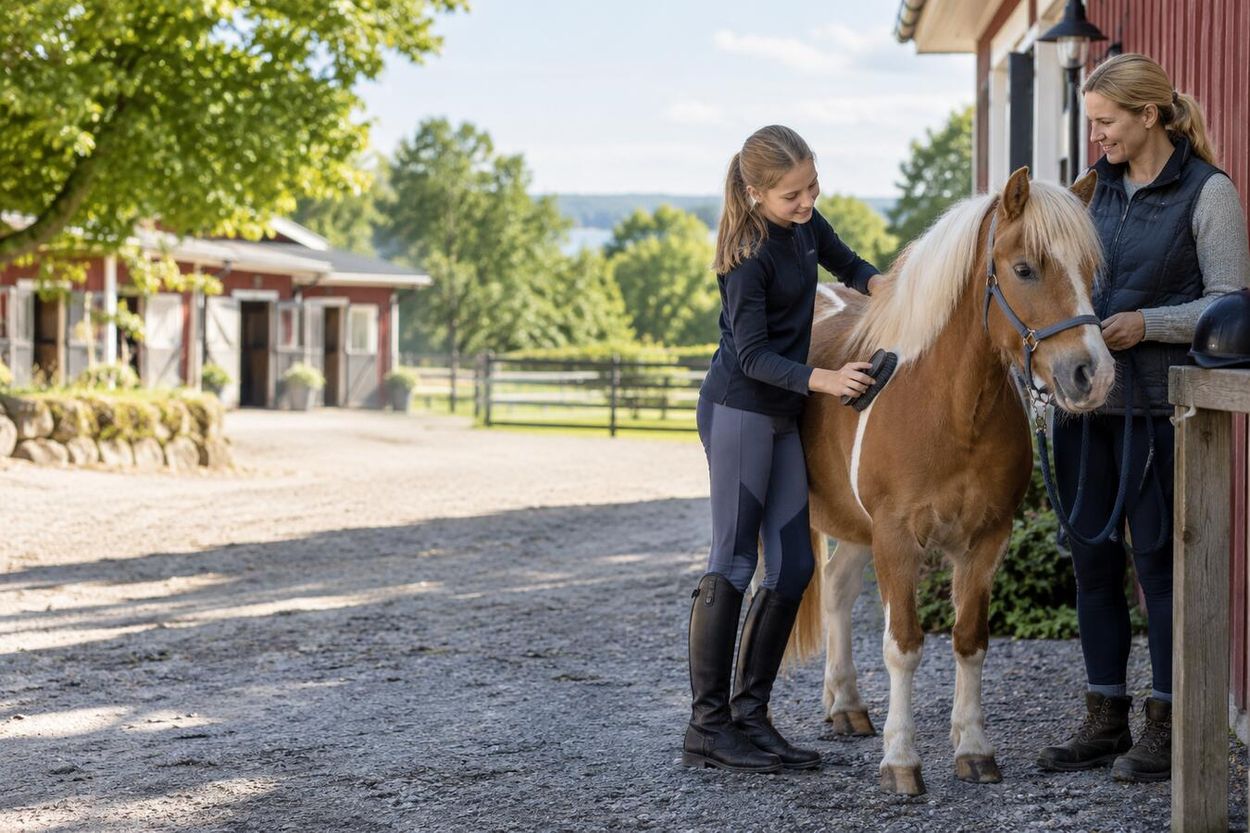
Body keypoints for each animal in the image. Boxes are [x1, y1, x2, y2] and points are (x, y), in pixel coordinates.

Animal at [788, 167, 1113, 795]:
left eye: (1090, 270)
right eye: (1024, 268)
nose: (1094, 374)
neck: (950, 408)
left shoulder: (986, 539)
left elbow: (969, 640)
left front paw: (974, 748)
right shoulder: (896, 538)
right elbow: (904, 645)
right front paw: (901, 760)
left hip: (856, 528)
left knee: (837, 590)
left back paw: (846, 707)